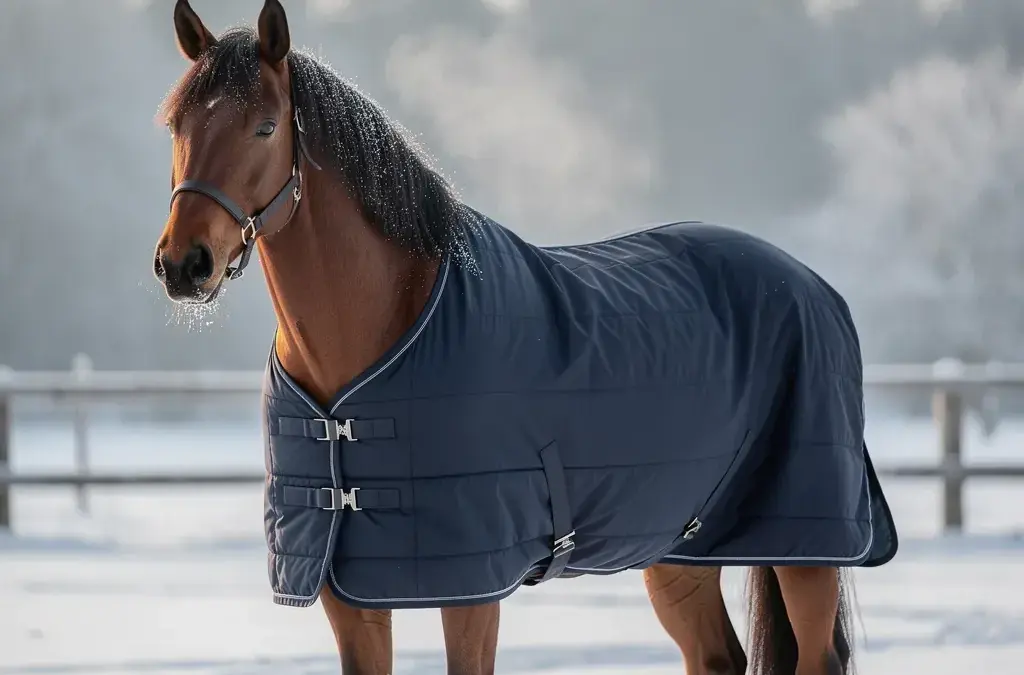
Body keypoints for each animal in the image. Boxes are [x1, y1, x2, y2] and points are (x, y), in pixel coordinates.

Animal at [153, 2, 897, 673]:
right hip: (678, 549)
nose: (184, 264)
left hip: (806, 548)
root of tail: (811, 284)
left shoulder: (473, 589)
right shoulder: (346, 585)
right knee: (716, 657)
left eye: (265, 126)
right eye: (176, 124)